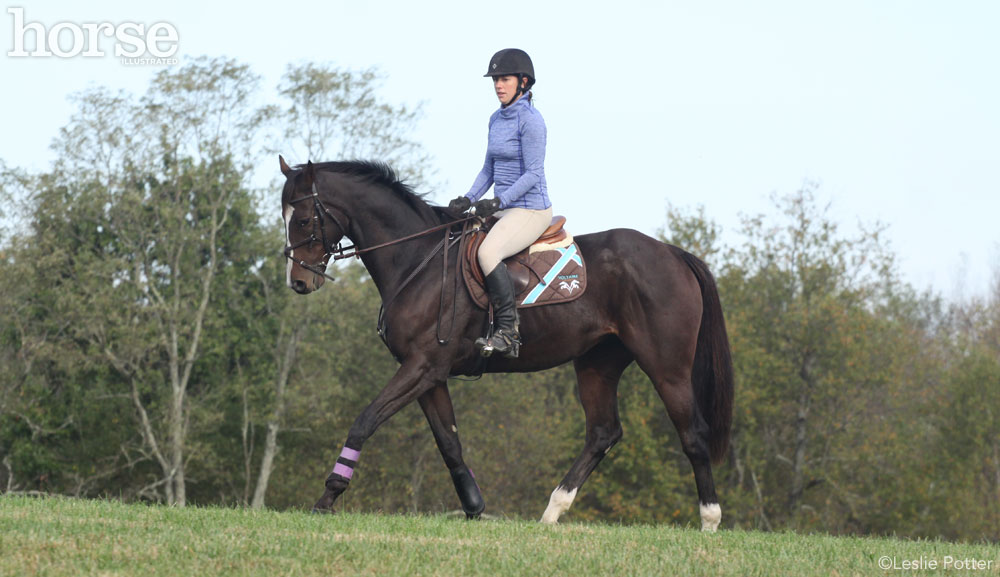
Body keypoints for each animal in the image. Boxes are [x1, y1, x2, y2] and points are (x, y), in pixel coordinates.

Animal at [282, 155, 736, 528]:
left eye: (302, 219)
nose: (299, 281)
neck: (417, 260)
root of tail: (673, 253)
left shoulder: (422, 366)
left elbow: (365, 421)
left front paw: (328, 497)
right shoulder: (428, 372)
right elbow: (449, 442)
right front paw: (473, 506)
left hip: (667, 366)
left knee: (692, 433)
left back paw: (710, 520)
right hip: (597, 363)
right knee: (603, 433)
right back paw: (552, 512)